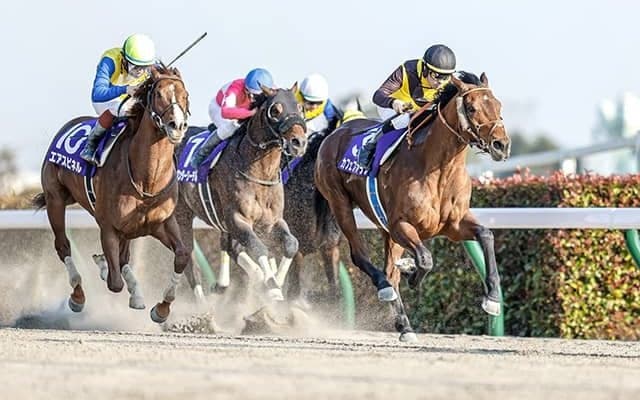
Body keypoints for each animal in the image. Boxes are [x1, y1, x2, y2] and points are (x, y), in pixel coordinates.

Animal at [33, 65, 191, 323]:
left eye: (186, 95)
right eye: (158, 94)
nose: (177, 126)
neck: (147, 179)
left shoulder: (162, 223)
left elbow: (182, 255)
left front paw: (161, 309)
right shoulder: (108, 225)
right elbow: (114, 281)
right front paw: (104, 267)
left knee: (124, 256)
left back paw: (135, 293)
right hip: (55, 199)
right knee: (63, 245)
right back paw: (78, 295)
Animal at [175, 84, 308, 306]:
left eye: (299, 107)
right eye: (275, 110)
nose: (298, 142)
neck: (260, 173)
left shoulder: (272, 221)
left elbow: (291, 244)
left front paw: (275, 281)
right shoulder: (238, 219)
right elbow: (258, 248)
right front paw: (272, 288)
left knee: (230, 247)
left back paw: (224, 285)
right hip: (181, 215)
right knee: (190, 261)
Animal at [314, 72, 511, 341]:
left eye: (499, 106)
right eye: (471, 108)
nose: (502, 145)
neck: (438, 169)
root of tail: (335, 133)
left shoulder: (454, 225)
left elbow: (486, 235)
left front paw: (492, 298)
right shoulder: (401, 225)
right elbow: (426, 260)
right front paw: (412, 274)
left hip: (385, 229)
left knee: (390, 271)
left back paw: (404, 323)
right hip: (340, 203)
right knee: (362, 257)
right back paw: (386, 288)